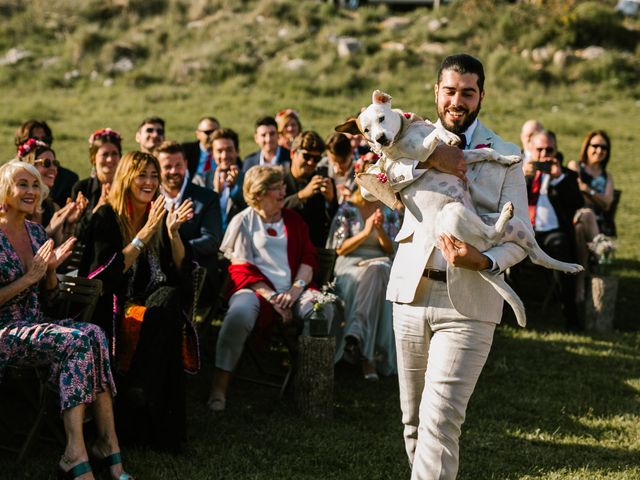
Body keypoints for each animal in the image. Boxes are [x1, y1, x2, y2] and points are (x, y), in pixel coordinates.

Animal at [336, 90, 584, 328]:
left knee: (537, 256)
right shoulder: (424, 153)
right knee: (494, 233)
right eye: (366, 130)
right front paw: (449, 135)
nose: (380, 139)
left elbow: (486, 153)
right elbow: (436, 135)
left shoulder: (461, 156)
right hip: (454, 212)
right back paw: (505, 214)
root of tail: (482, 250)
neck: (407, 129)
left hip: (519, 227)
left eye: (381, 118)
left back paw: (569, 266)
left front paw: (508, 158)